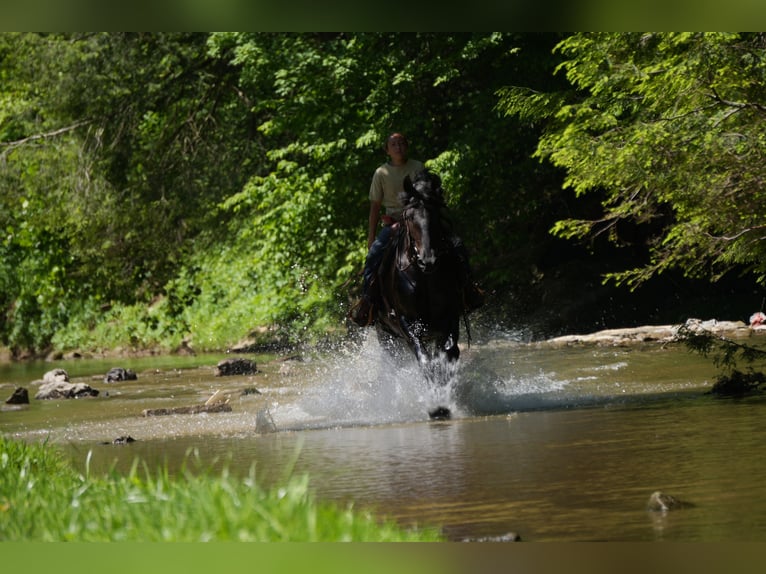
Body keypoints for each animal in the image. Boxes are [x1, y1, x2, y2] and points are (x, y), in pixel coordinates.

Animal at [373, 170, 466, 415]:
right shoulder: (407, 324)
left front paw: (444, 399)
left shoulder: (449, 317)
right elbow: (424, 360)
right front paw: (436, 406)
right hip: (388, 338)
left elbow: (449, 354)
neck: (423, 277)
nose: (428, 260)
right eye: (409, 217)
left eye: (435, 215)